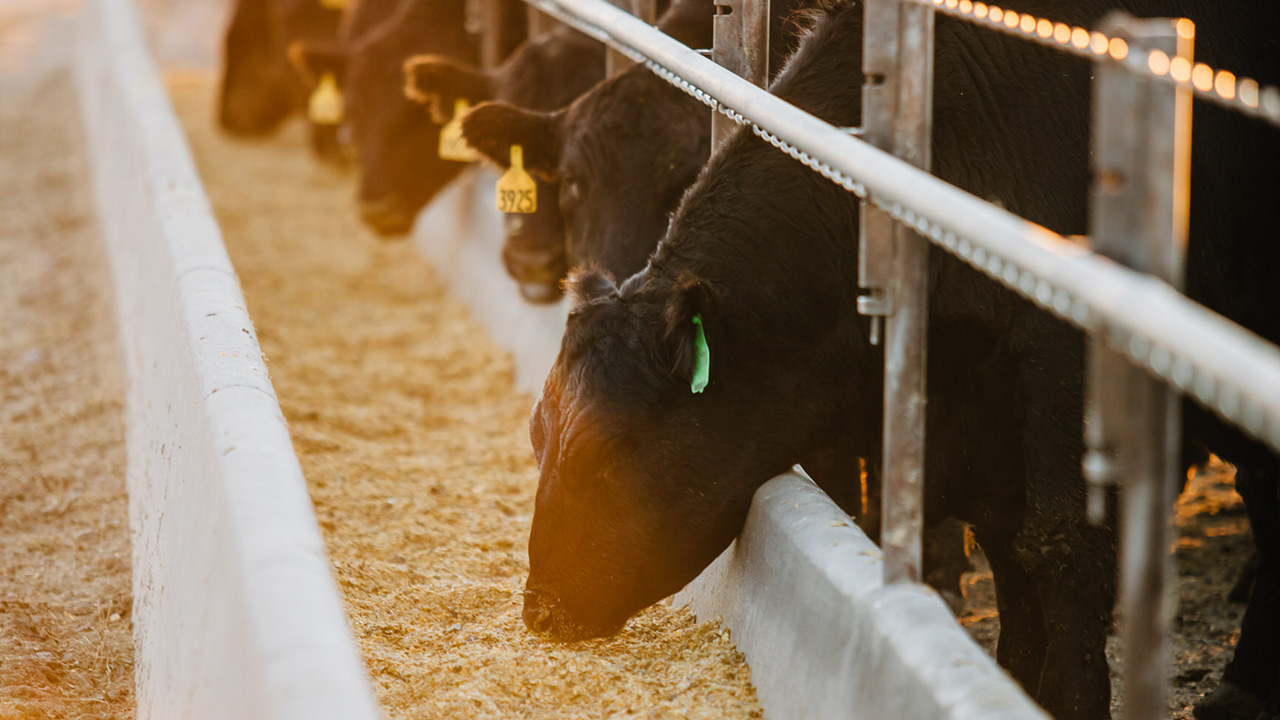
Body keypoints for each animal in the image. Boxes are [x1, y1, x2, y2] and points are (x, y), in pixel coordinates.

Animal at [517, 0, 1280, 717]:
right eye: (536, 435)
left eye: (600, 452)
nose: (539, 610)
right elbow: (1008, 543)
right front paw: (1012, 677)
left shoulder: (1061, 365)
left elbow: (1062, 540)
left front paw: (1066, 699)